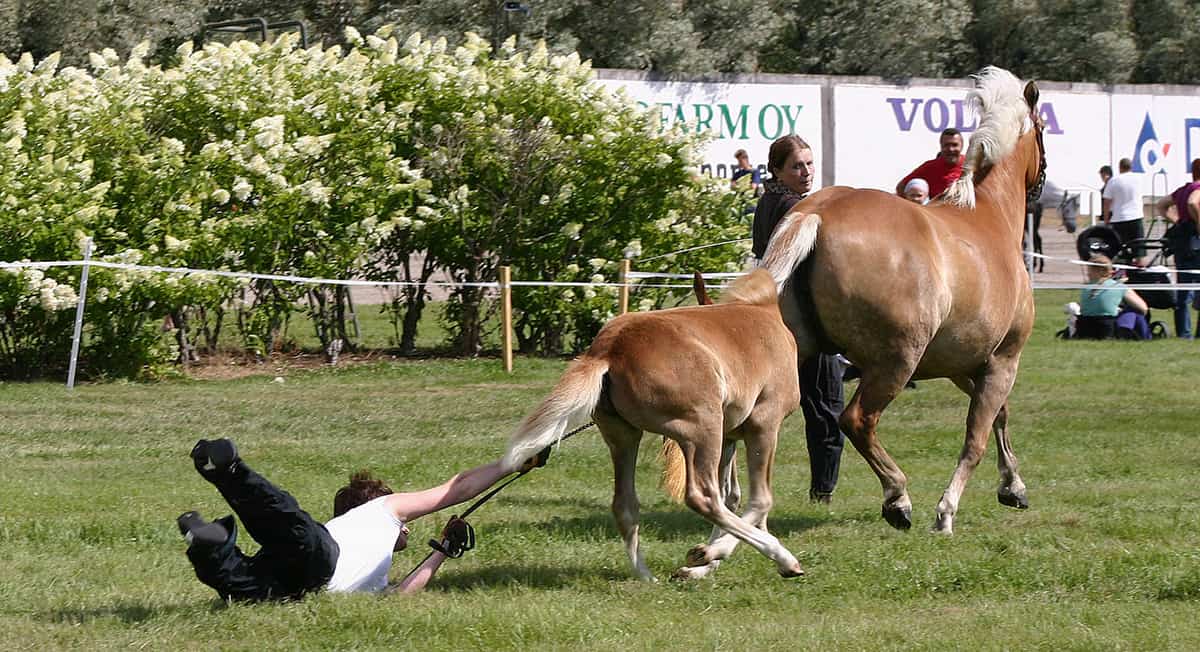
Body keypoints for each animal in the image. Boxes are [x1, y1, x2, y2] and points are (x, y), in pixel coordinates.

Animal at [501, 269, 804, 581]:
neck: (765, 310)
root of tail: (609, 350)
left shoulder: (730, 437)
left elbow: (734, 498)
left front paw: (704, 563)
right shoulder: (763, 424)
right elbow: (759, 500)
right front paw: (710, 555)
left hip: (624, 436)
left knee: (625, 504)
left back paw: (646, 577)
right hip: (703, 428)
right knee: (703, 497)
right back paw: (778, 556)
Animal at [758, 67, 1047, 535]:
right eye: (1042, 129)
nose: (1042, 187)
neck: (989, 215)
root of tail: (815, 213)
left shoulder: (965, 364)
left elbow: (998, 417)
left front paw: (1013, 487)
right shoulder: (1004, 359)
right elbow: (976, 437)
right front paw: (947, 511)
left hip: (797, 352)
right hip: (894, 363)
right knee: (857, 421)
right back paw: (897, 499)